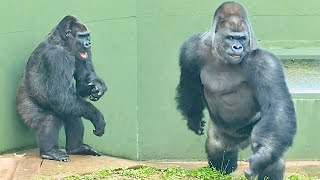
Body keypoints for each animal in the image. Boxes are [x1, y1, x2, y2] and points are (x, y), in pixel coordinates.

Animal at [16, 15, 107, 162]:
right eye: (81, 36)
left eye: (87, 35)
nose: (88, 43)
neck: (63, 40)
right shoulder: (57, 56)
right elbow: (59, 96)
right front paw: (97, 116)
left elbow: (82, 83)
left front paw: (97, 86)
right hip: (22, 104)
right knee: (48, 119)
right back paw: (49, 151)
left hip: (67, 108)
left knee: (72, 113)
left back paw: (76, 148)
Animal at [176, 1, 296, 180]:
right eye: (231, 37)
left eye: (242, 38)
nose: (237, 47)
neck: (219, 54)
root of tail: (241, 142)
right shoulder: (191, 49)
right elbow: (190, 83)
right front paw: (193, 117)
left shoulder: (266, 63)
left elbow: (277, 106)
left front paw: (264, 155)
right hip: (224, 135)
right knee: (218, 151)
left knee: (272, 152)